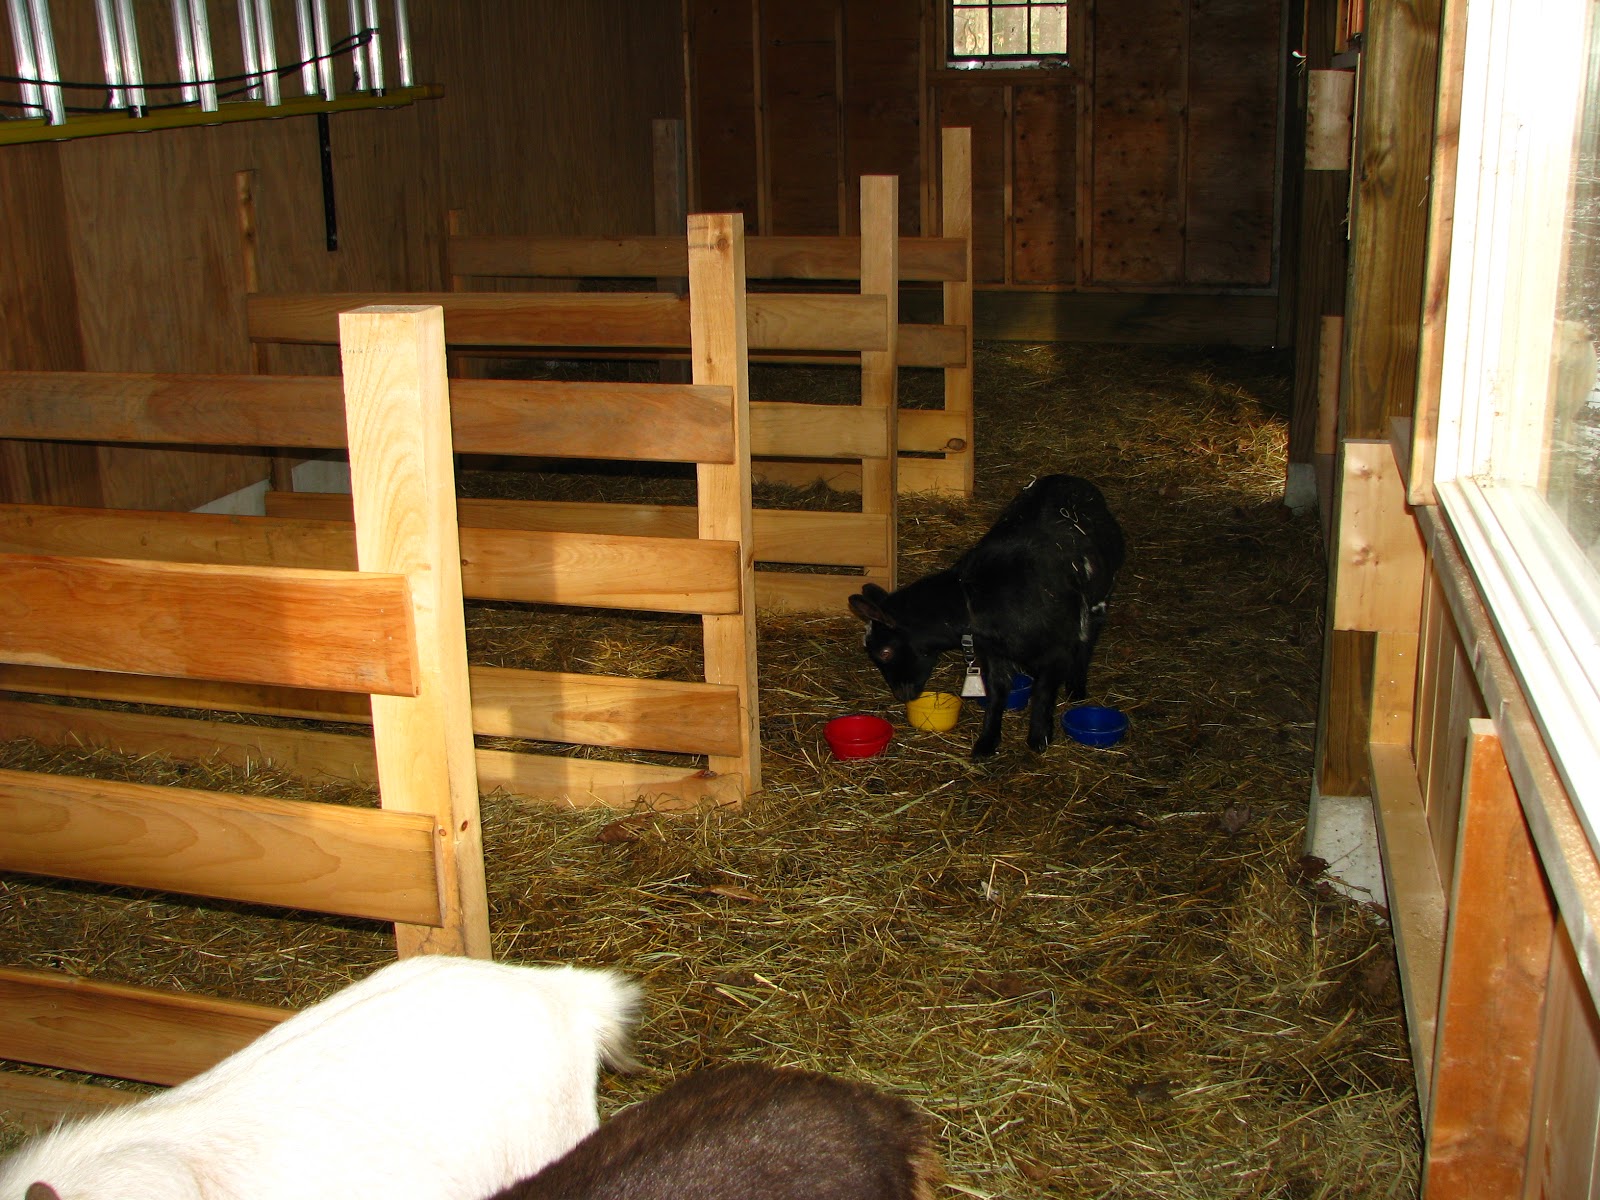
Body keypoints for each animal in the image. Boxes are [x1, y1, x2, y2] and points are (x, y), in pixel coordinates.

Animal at [849, 473, 1124, 757]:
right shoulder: (994, 655)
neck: (974, 597)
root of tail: (1071, 478)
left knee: (1088, 636)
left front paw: (1039, 737)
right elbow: (996, 693)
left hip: (1099, 596)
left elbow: (1043, 693)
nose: (901, 695)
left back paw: (1077, 687)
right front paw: (987, 741)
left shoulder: (1055, 650)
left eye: (885, 652)